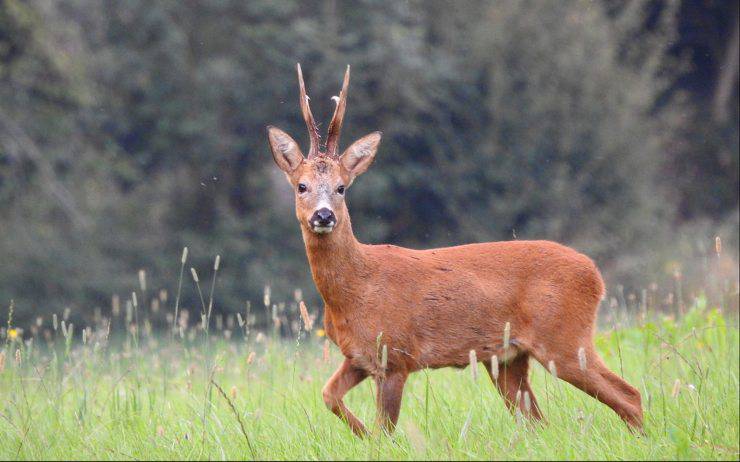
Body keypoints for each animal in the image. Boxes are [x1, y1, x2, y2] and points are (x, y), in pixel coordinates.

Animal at [266, 63, 640, 434]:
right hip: (509, 359)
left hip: (564, 339)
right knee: (538, 421)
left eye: (342, 187)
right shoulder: (357, 356)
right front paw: (360, 434)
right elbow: (329, 395)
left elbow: (385, 431)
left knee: (628, 395)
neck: (355, 289)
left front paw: (372, 437)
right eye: (302, 186)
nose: (324, 215)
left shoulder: (396, 355)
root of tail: (595, 275)